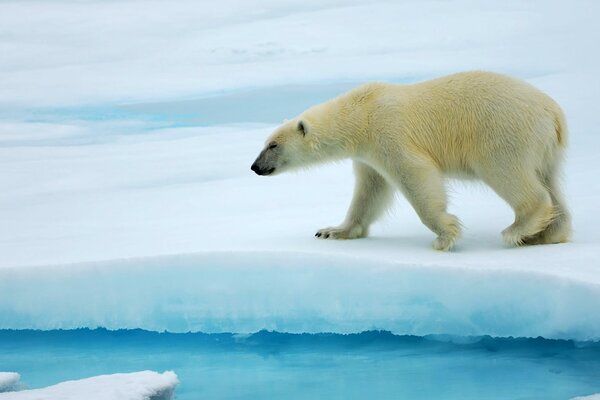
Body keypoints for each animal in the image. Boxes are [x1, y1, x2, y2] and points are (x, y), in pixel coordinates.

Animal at [251, 70, 568, 248]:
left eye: (273, 145)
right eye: (265, 143)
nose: (255, 167)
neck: (360, 114)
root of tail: (553, 113)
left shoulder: (388, 133)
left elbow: (415, 175)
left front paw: (445, 235)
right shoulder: (367, 155)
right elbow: (370, 191)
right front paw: (332, 231)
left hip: (503, 132)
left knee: (508, 173)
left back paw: (518, 229)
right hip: (545, 148)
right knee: (550, 181)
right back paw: (547, 234)